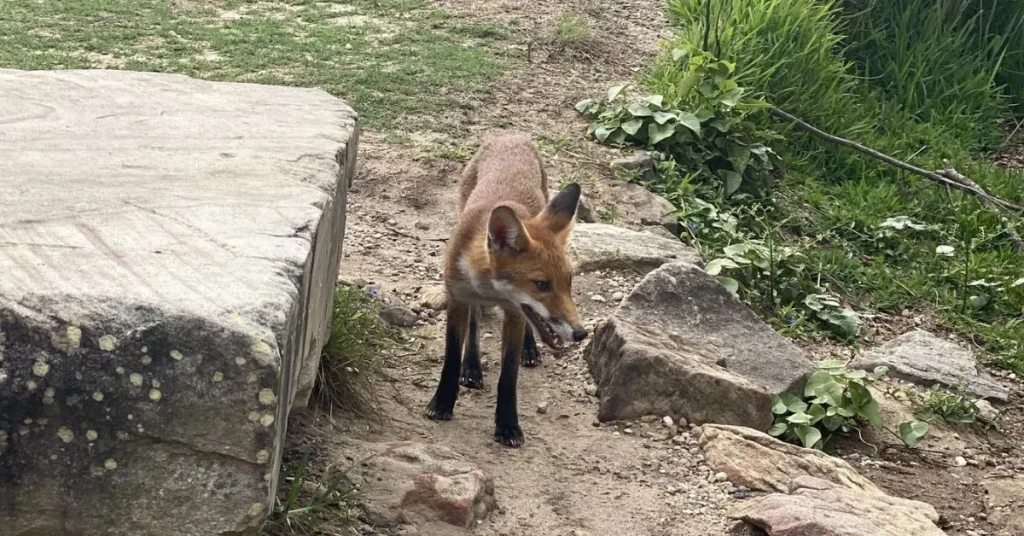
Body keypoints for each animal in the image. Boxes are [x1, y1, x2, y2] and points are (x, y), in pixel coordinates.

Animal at [425, 132, 589, 447]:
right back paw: (472, 367)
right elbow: (452, 356)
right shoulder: (457, 298)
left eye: (569, 282)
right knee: (475, 326)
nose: (581, 334)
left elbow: (508, 376)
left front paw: (508, 425)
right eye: (542, 285)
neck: (489, 288)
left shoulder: (514, 313)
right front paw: (442, 402)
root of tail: (511, 135)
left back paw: (530, 349)